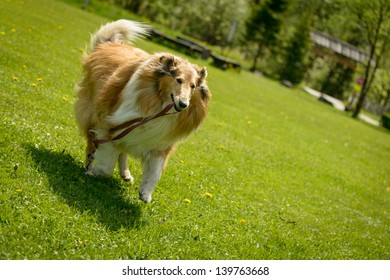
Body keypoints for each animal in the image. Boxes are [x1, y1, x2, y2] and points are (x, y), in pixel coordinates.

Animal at [75, 20, 212, 203]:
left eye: (193, 86)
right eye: (178, 80)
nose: (183, 104)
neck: (159, 104)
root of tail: (108, 44)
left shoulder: (159, 143)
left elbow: (154, 173)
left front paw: (145, 193)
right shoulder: (107, 125)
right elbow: (106, 164)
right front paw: (97, 171)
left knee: (122, 151)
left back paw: (125, 174)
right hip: (92, 114)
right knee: (93, 145)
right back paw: (90, 167)